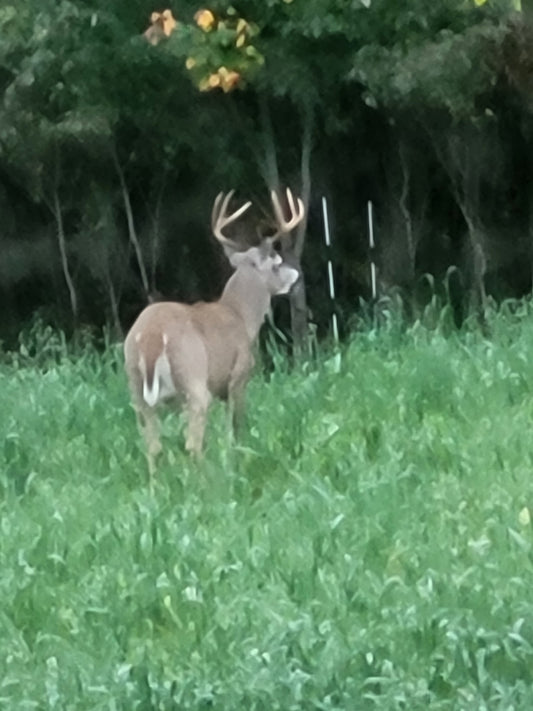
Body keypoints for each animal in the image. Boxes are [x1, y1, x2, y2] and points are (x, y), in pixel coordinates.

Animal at [124, 188, 304, 475]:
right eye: (276, 263)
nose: (296, 274)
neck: (240, 315)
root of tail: (152, 336)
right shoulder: (238, 376)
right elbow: (235, 430)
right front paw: (236, 462)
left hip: (136, 388)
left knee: (153, 447)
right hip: (193, 377)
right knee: (192, 444)